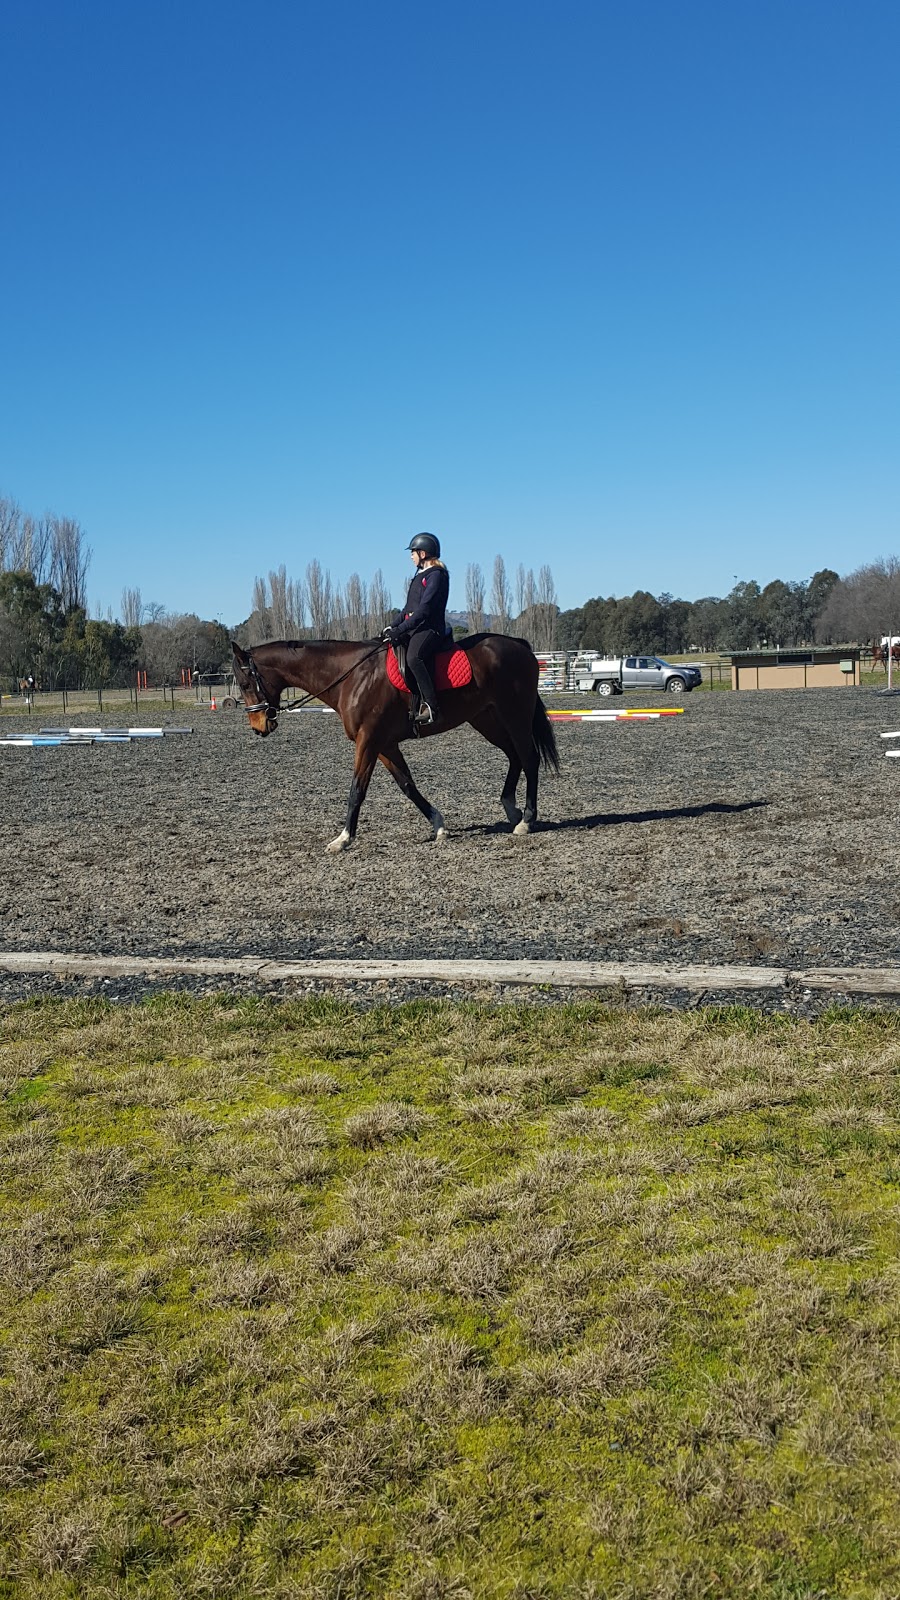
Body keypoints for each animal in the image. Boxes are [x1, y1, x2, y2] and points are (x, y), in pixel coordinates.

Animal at [229, 630, 554, 851]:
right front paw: (439, 827)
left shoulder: (368, 741)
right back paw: (511, 808)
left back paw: (526, 821)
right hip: (486, 719)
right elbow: (407, 785)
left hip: (514, 714)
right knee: (514, 755)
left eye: (245, 683)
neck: (351, 677)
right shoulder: (384, 745)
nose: (259, 727)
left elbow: (357, 789)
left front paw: (343, 839)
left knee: (528, 757)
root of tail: (520, 645)